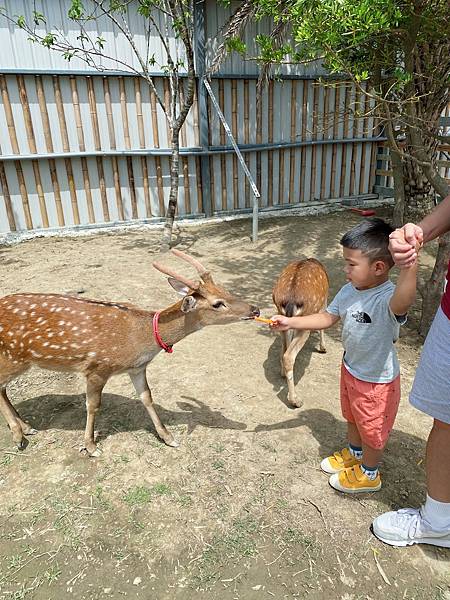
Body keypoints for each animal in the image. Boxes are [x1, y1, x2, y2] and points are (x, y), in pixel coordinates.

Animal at [272, 258, 328, 408]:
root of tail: (291, 300)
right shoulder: (324, 303)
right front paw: (323, 348)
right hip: (306, 320)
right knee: (288, 355)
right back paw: (295, 400)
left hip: (282, 316)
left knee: (284, 349)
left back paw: (282, 373)